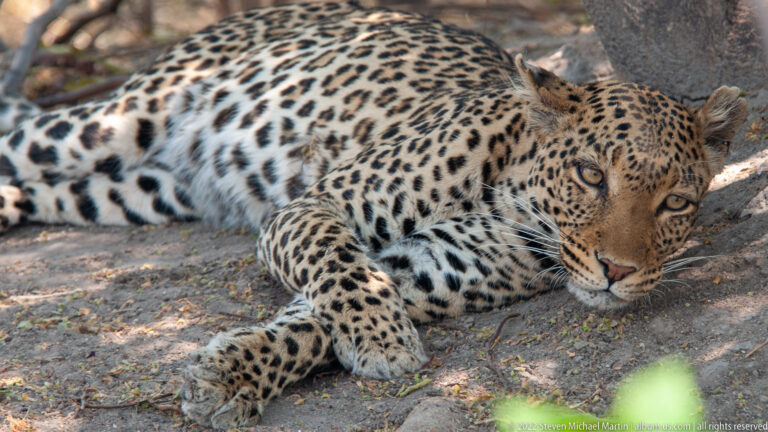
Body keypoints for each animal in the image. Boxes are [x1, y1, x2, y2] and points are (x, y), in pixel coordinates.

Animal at [0, 1, 747, 429]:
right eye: (591, 175)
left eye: (675, 202)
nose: (618, 272)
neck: (511, 201)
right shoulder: (311, 207)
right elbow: (342, 272)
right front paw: (383, 343)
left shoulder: (424, 271)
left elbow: (309, 327)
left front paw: (232, 376)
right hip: (116, 121)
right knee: (24, 137)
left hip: (137, 192)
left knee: (39, 189)